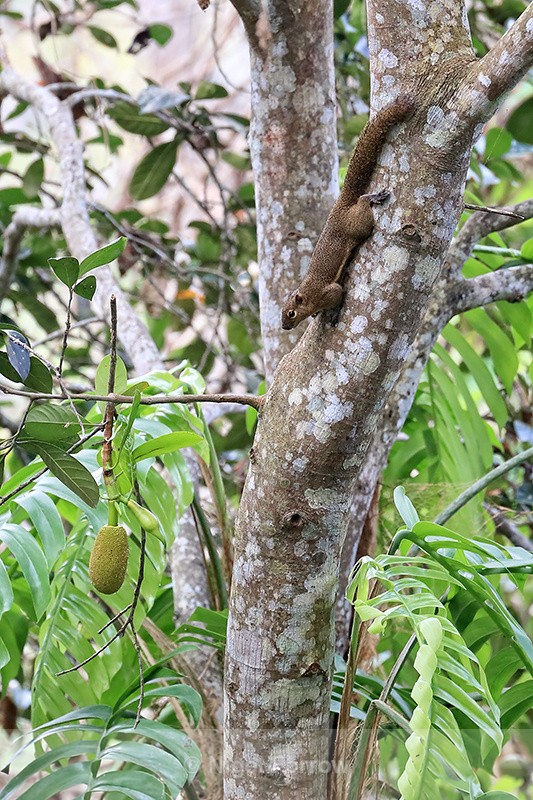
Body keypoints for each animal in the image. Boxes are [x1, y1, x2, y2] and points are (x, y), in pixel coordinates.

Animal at [281, 96, 415, 330]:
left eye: (291, 313)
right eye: (282, 313)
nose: (283, 327)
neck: (308, 294)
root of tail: (340, 206)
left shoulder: (327, 293)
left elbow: (337, 295)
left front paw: (331, 312)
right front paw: (318, 315)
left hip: (356, 225)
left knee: (362, 208)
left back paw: (371, 198)